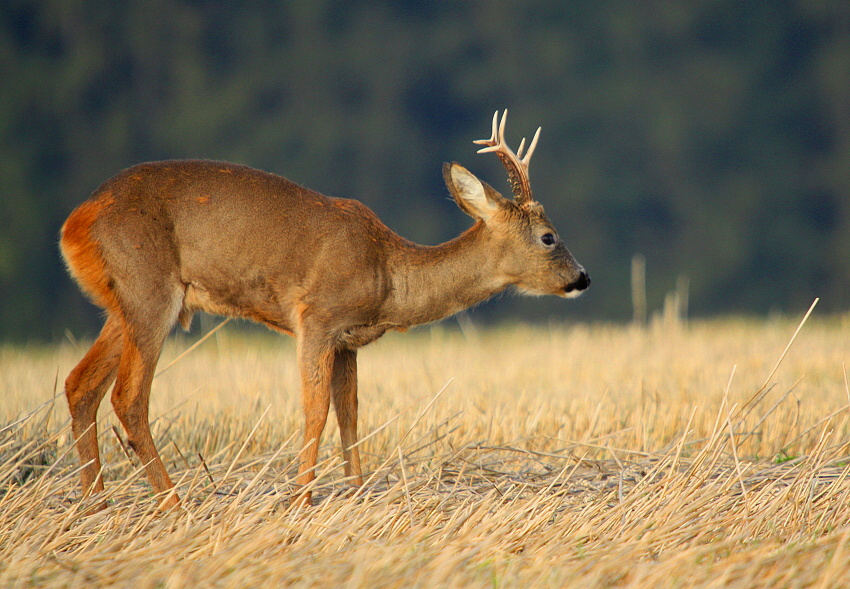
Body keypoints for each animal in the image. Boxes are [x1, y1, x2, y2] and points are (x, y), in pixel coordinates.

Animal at [60, 110, 590, 510]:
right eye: (549, 237)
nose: (583, 277)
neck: (389, 275)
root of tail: (75, 221)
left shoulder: (348, 341)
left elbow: (350, 414)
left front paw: (357, 493)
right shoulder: (316, 317)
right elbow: (315, 411)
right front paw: (301, 500)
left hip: (122, 305)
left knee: (79, 384)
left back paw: (95, 505)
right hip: (149, 288)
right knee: (128, 396)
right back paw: (172, 503)